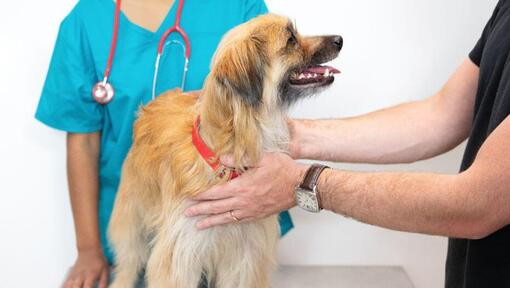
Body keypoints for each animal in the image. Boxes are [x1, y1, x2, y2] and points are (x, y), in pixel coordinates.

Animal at [109, 14, 344, 288]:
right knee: (129, 260)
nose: (340, 40)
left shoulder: (244, 254)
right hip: (132, 216)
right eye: (291, 40)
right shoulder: (181, 252)